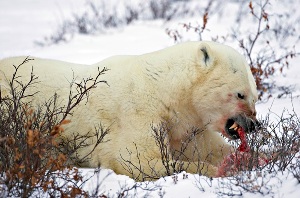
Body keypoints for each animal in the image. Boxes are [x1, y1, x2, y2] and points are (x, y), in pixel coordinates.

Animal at [0, 41, 258, 180]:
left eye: (255, 96)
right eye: (240, 94)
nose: (254, 125)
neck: (163, 89)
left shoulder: (183, 126)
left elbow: (207, 147)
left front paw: (257, 157)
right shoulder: (137, 111)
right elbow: (136, 159)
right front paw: (217, 169)